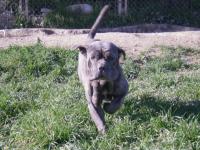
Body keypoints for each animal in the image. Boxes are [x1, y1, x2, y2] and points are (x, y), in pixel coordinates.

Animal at [76, 4, 129, 134]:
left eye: (110, 57)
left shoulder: (124, 90)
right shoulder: (92, 103)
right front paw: (103, 130)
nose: (101, 67)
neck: (103, 82)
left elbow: (116, 103)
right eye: (93, 58)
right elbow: (98, 117)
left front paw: (108, 107)